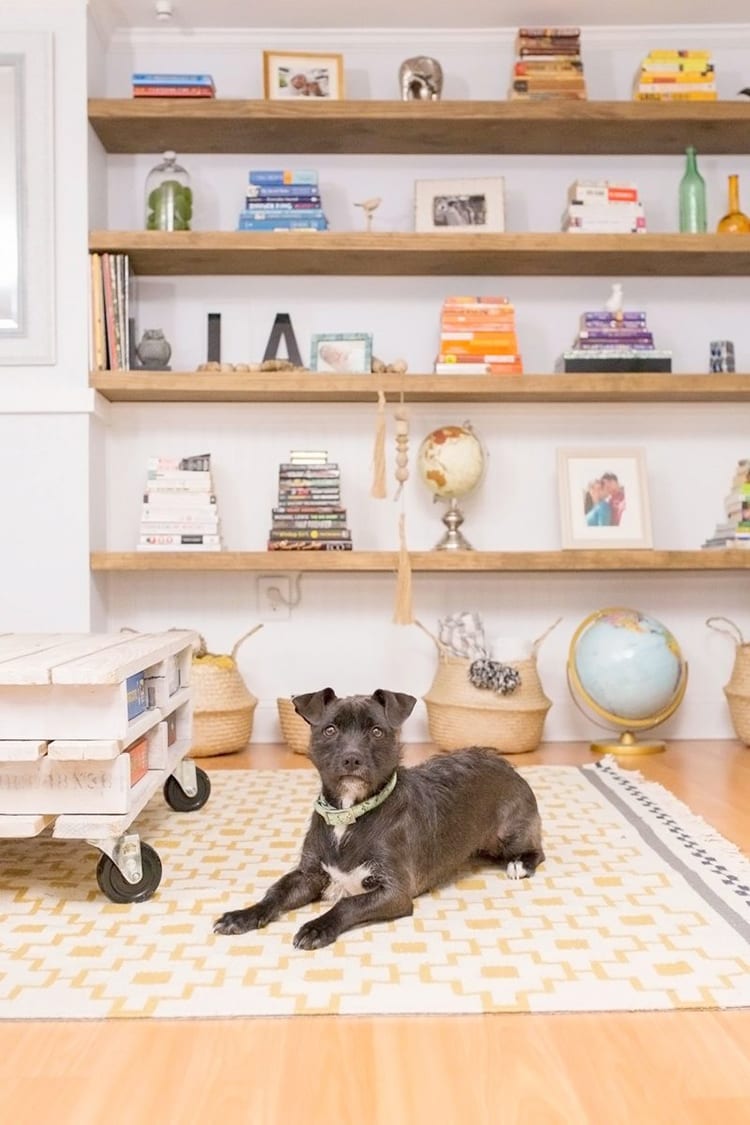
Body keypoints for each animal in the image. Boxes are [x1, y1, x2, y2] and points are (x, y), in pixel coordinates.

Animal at [212, 684, 546, 949]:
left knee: (537, 851)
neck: (348, 814)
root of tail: (502, 761)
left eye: (376, 731)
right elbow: (276, 892)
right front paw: (243, 915)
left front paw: (317, 927)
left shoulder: (394, 891)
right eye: (330, 730)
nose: (352, 758)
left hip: (510, 834)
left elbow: (348, 903)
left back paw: (519, 864)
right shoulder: (308, 875)